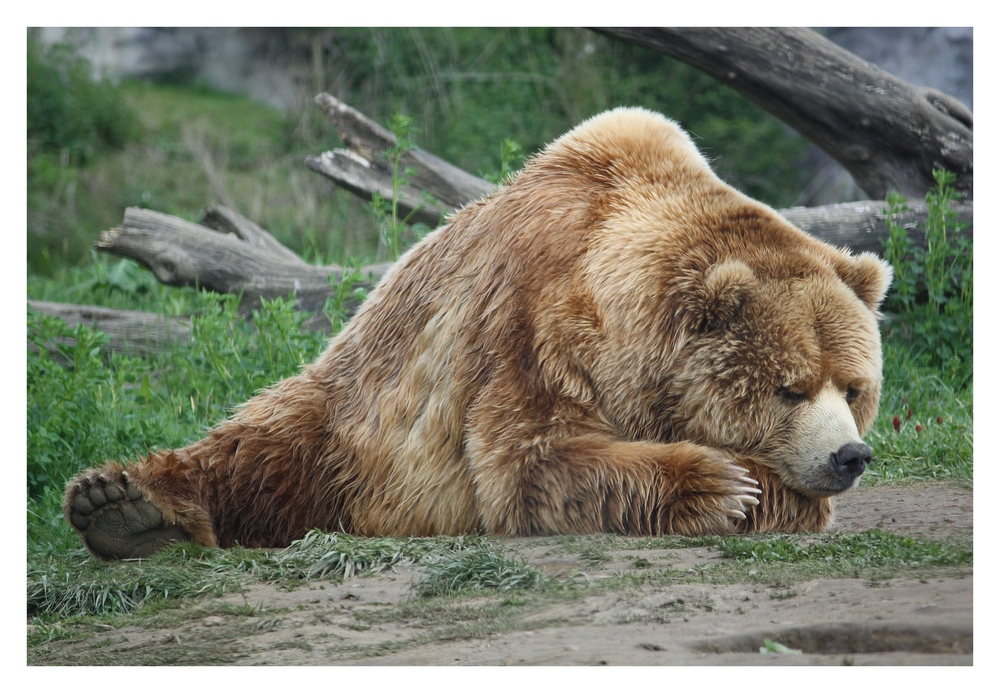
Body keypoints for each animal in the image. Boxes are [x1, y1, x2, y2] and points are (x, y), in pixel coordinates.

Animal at [64, 109, 892, 564]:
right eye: (789, 387)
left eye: (855, 386)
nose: (848, 455)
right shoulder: (530, 325)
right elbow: (534, 461)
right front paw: (723, 481)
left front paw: (764, 489)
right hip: (351, 416)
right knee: (257, 448)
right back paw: (119, 504)